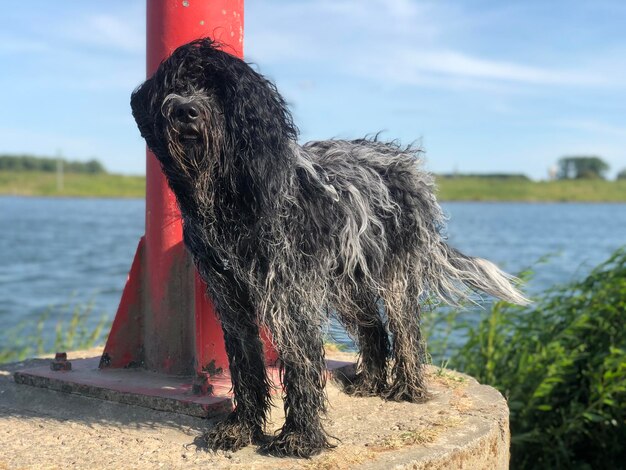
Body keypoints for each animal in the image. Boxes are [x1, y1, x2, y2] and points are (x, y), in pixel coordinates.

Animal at [130, 38, 528, 458]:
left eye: (217, 88)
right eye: (175, 84)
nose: (185, 110)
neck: (233, 196)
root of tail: (407, 164)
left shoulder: (290, 295)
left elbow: (301, 364)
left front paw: (299, 437)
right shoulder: (231, 297)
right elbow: (245, 366)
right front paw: (241, 428)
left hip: (394, 276)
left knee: (405, 331)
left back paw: (407, 388)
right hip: (348, 285)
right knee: (374, 330)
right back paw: (370, 383)